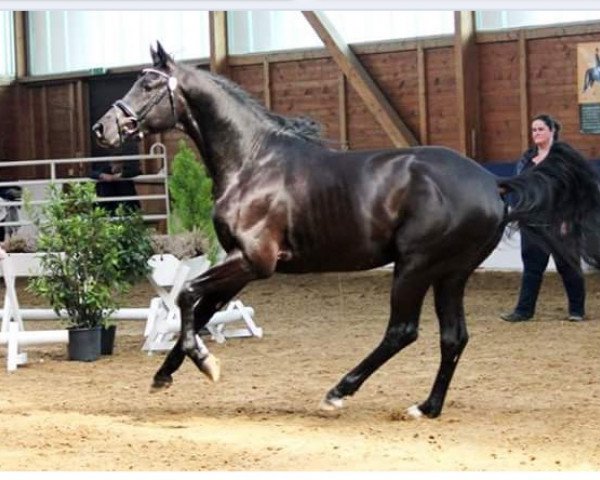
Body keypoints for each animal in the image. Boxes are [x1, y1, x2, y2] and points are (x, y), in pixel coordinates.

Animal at [90, 43, 600, 418]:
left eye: (149, 83)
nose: (103, 128)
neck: (253, 161)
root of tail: (493, 184)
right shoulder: (240, 266)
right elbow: (198, 310)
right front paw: (168, 373)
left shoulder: (255, 262)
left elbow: (189, 297)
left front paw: (204, 364)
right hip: (450, 274)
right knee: (453, 337)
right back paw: (427, 407)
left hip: (416, 266)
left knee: (402, 331)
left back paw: (339, 392)